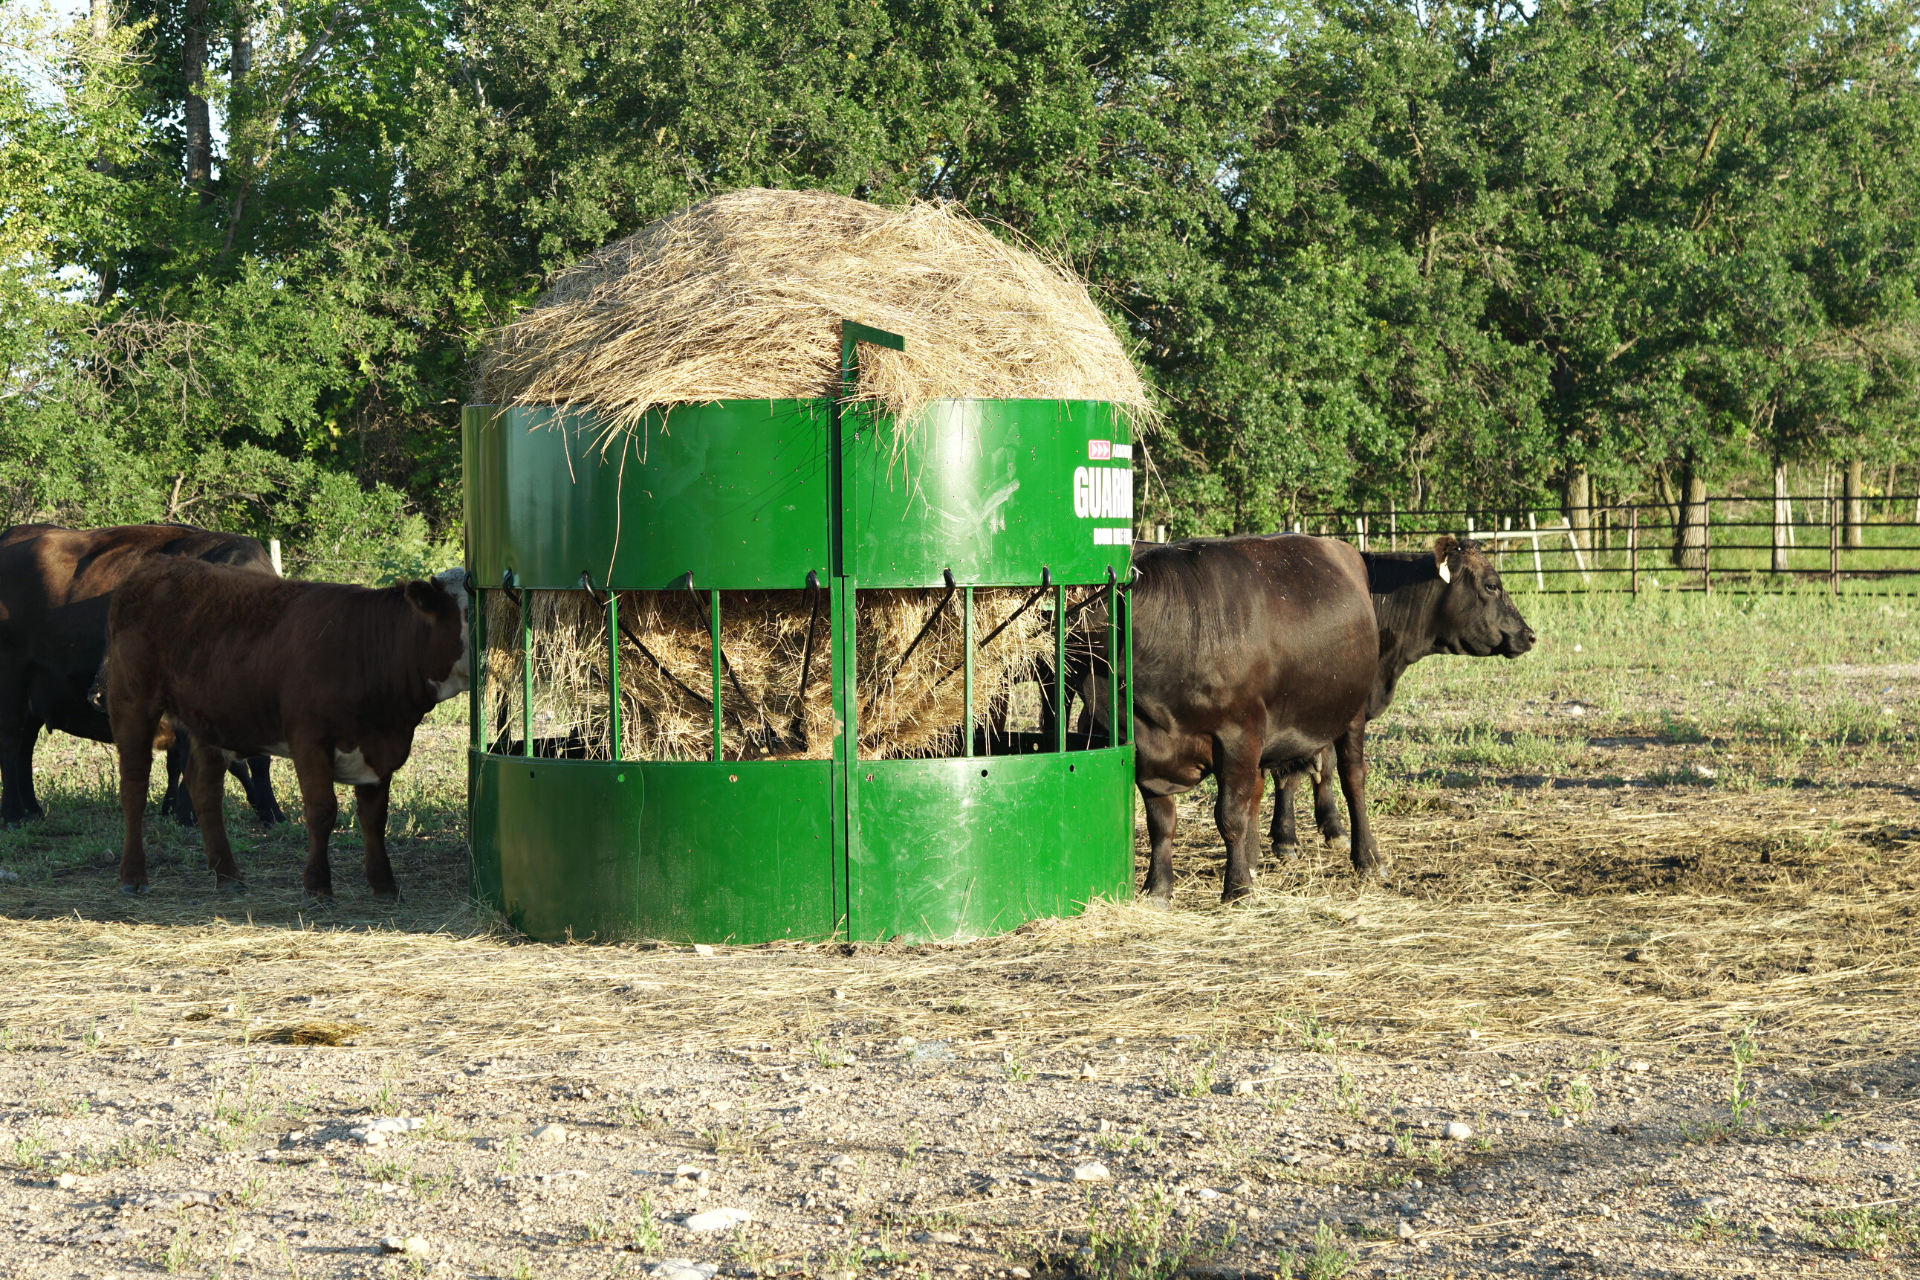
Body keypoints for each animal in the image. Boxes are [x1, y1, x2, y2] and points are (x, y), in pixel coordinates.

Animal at [1113, 537, 1382, 905]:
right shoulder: (1146, 750)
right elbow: (1161, 821)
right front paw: (1158, 888)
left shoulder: (1239, 736)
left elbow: (1230, 815)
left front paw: (1238, 887)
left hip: (1352, 710)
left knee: (1352, 777)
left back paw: (1367, 858)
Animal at [1274, 537, 1543, 855]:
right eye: (1491, 585)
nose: (1529, 635)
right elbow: (1292, 771)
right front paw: (1285, 838)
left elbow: (1322, 767)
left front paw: (1332, 829)